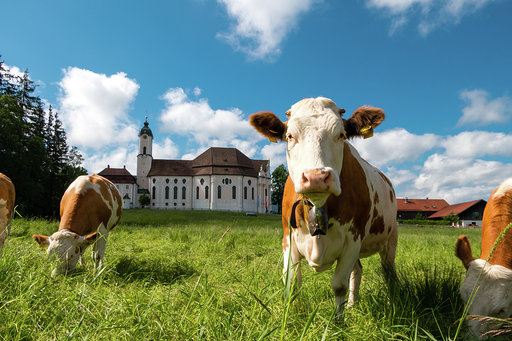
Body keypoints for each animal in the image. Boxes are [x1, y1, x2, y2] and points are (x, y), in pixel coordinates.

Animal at [250, 96, 398, 314]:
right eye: (290, 136)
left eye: (341, 135)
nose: (316, 177)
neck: (318, 205)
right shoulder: (288, 238)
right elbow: (291, 282)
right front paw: (292, 316)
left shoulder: (353, 240)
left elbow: (339, 286)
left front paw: (338, 320)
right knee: (358, 270)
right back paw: (352, 305)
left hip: (391, 238)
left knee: (388, 272)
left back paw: (392, 302)